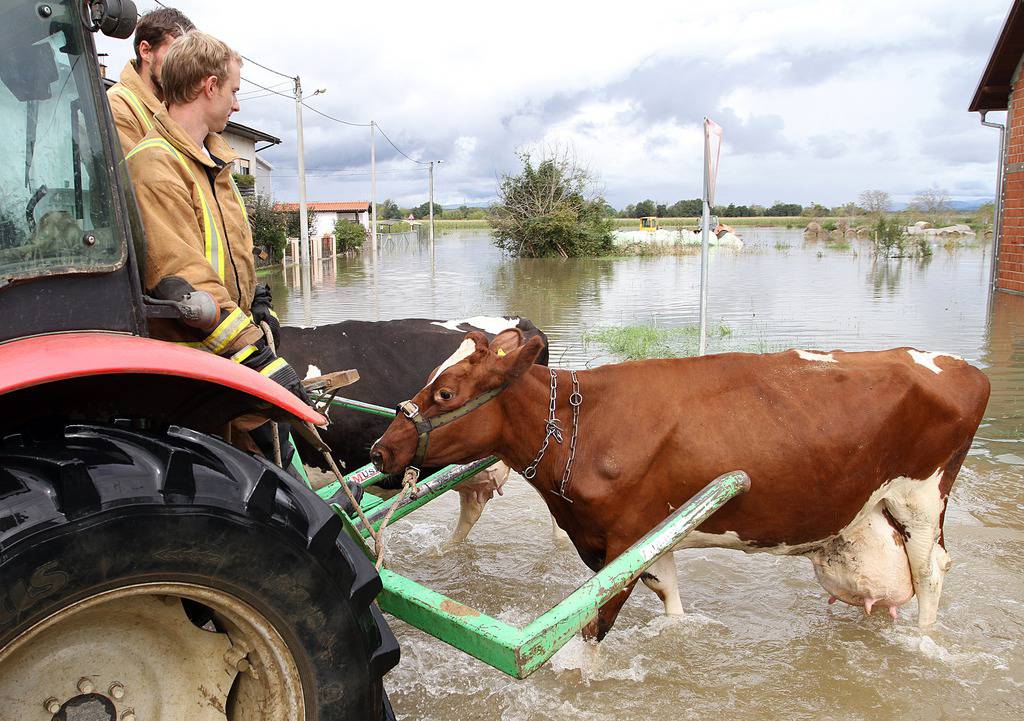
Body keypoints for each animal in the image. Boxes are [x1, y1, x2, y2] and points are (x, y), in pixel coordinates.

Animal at [370, 329, 991, 639]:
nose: (381, 449)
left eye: (445, 392)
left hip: (921, 497)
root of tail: (960, 366)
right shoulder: (643, 536)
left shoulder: (620, 543)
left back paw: (925, 645)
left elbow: (590, 633)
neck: (582, 425)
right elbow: (670, 599)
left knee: (930, 573)